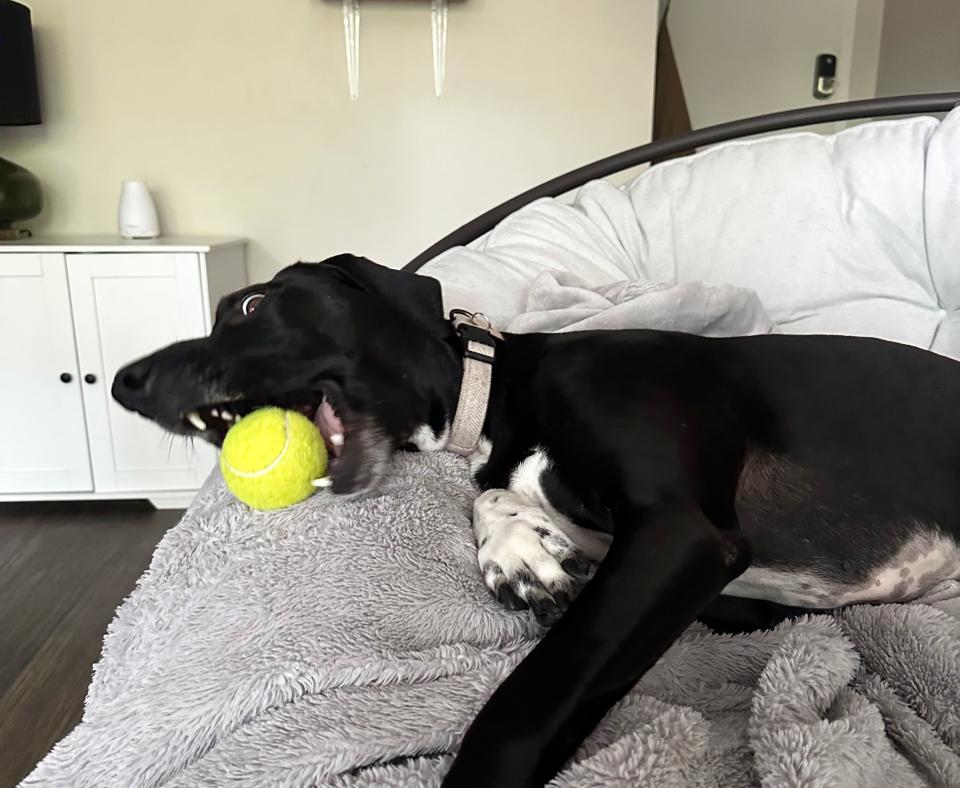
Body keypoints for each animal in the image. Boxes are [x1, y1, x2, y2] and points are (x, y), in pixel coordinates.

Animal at [110, 255, 960, 784]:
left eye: (253, 304)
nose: (125, 381)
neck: (498, 393)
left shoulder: (682, 534)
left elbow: (524, 704)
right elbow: (495, 498)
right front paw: (519, 549)